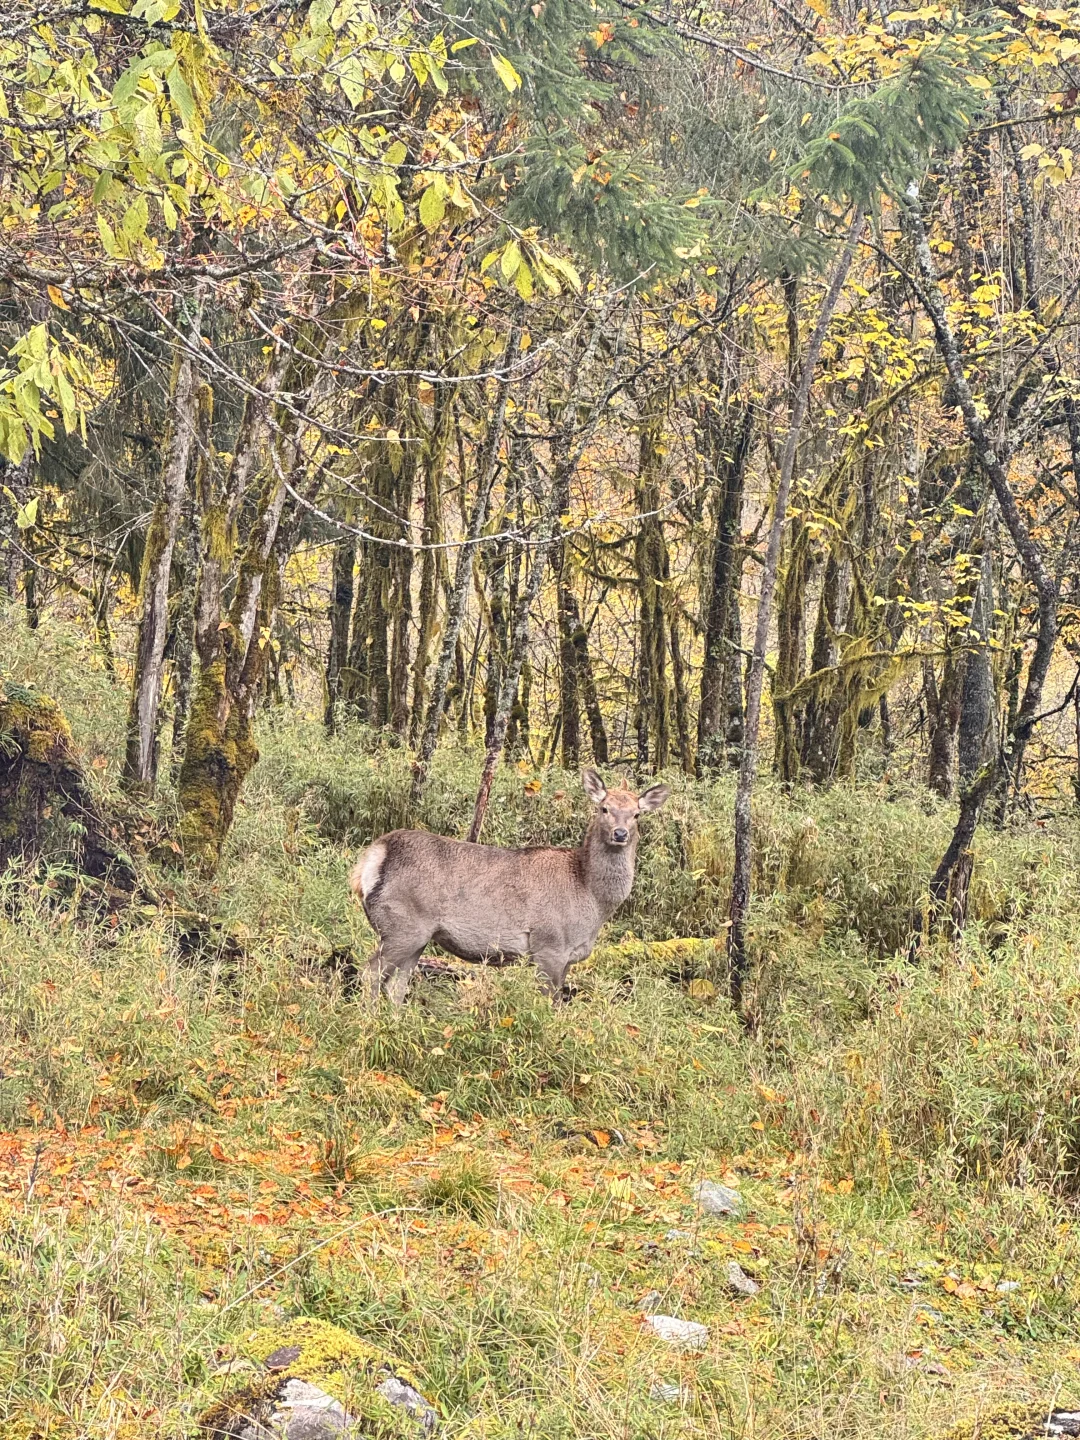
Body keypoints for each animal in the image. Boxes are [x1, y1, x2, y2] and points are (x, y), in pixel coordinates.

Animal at [349, 769, 670, 1004]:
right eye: (604, 808)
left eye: (637, 814)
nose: (620, 833)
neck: (591, 898)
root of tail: (371, 859)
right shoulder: (549, 945)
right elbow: (548, 1003)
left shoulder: (567, 957)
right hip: (402, 925)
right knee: (371, 973)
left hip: (417, 936)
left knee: (396, 986)